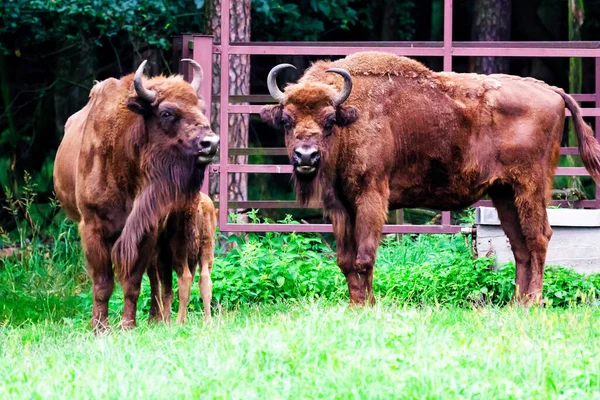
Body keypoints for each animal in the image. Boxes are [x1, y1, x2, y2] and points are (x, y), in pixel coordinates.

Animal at [148, 191, 218, 324]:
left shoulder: (162, 260)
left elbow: (166, 291)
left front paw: (164, 321)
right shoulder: (192, 262)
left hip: (180, 252)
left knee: (185, 278)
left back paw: (178, 321)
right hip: (206, 248)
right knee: (205, 279)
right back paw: (208, 321)